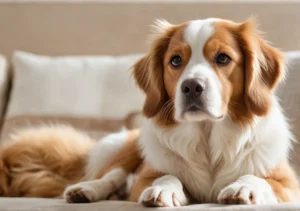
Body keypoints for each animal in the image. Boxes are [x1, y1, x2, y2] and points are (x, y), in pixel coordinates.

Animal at [0, 18, 300, 206]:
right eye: (175, 61)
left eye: (223, 58)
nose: (192, 87)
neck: (206, 136)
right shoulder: (145, 175)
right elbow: (165, 175)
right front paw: (162, 190)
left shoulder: (289, 184)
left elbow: (257, 177)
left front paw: (243, 187)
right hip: (128, 146)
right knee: (113, 176)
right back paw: (85, 191)